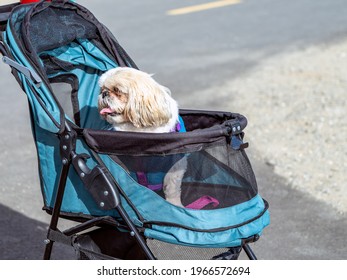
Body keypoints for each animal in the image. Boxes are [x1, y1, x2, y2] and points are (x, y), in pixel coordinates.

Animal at [99, 67, 188, 208]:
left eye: (117, 90)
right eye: (102, 89)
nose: (104, 93)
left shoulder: (176, 165)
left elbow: (171, 188)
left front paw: (175, 205)